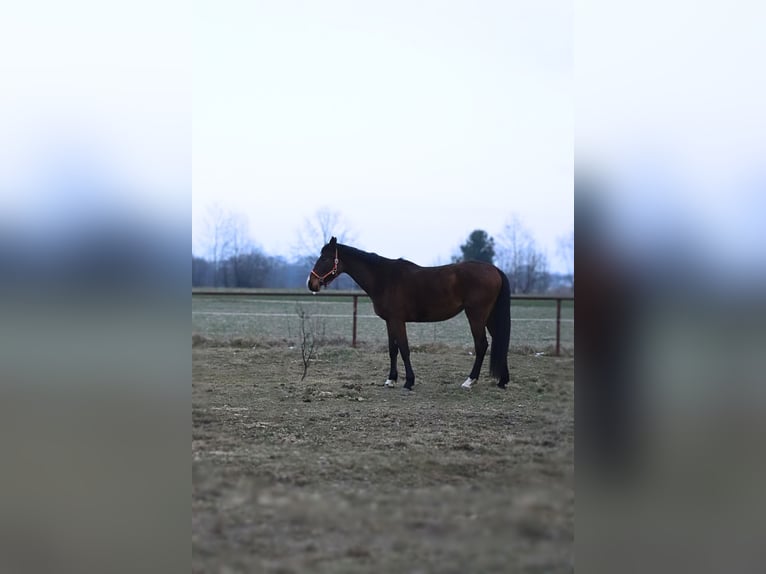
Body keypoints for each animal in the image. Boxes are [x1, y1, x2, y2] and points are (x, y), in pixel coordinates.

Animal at [304, 237, 510, 392]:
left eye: (325, 258)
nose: (311, 283)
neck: (384, 278)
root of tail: (495, 269)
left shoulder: (397, 320)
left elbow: (404, 349)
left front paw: (409, 381)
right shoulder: (389, 322)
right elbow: (392, 349)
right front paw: (390, 380)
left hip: (476, 315)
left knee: (482, 345)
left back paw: (469, 381)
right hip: (489, 317)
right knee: (499, 341)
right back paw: (502, 381)